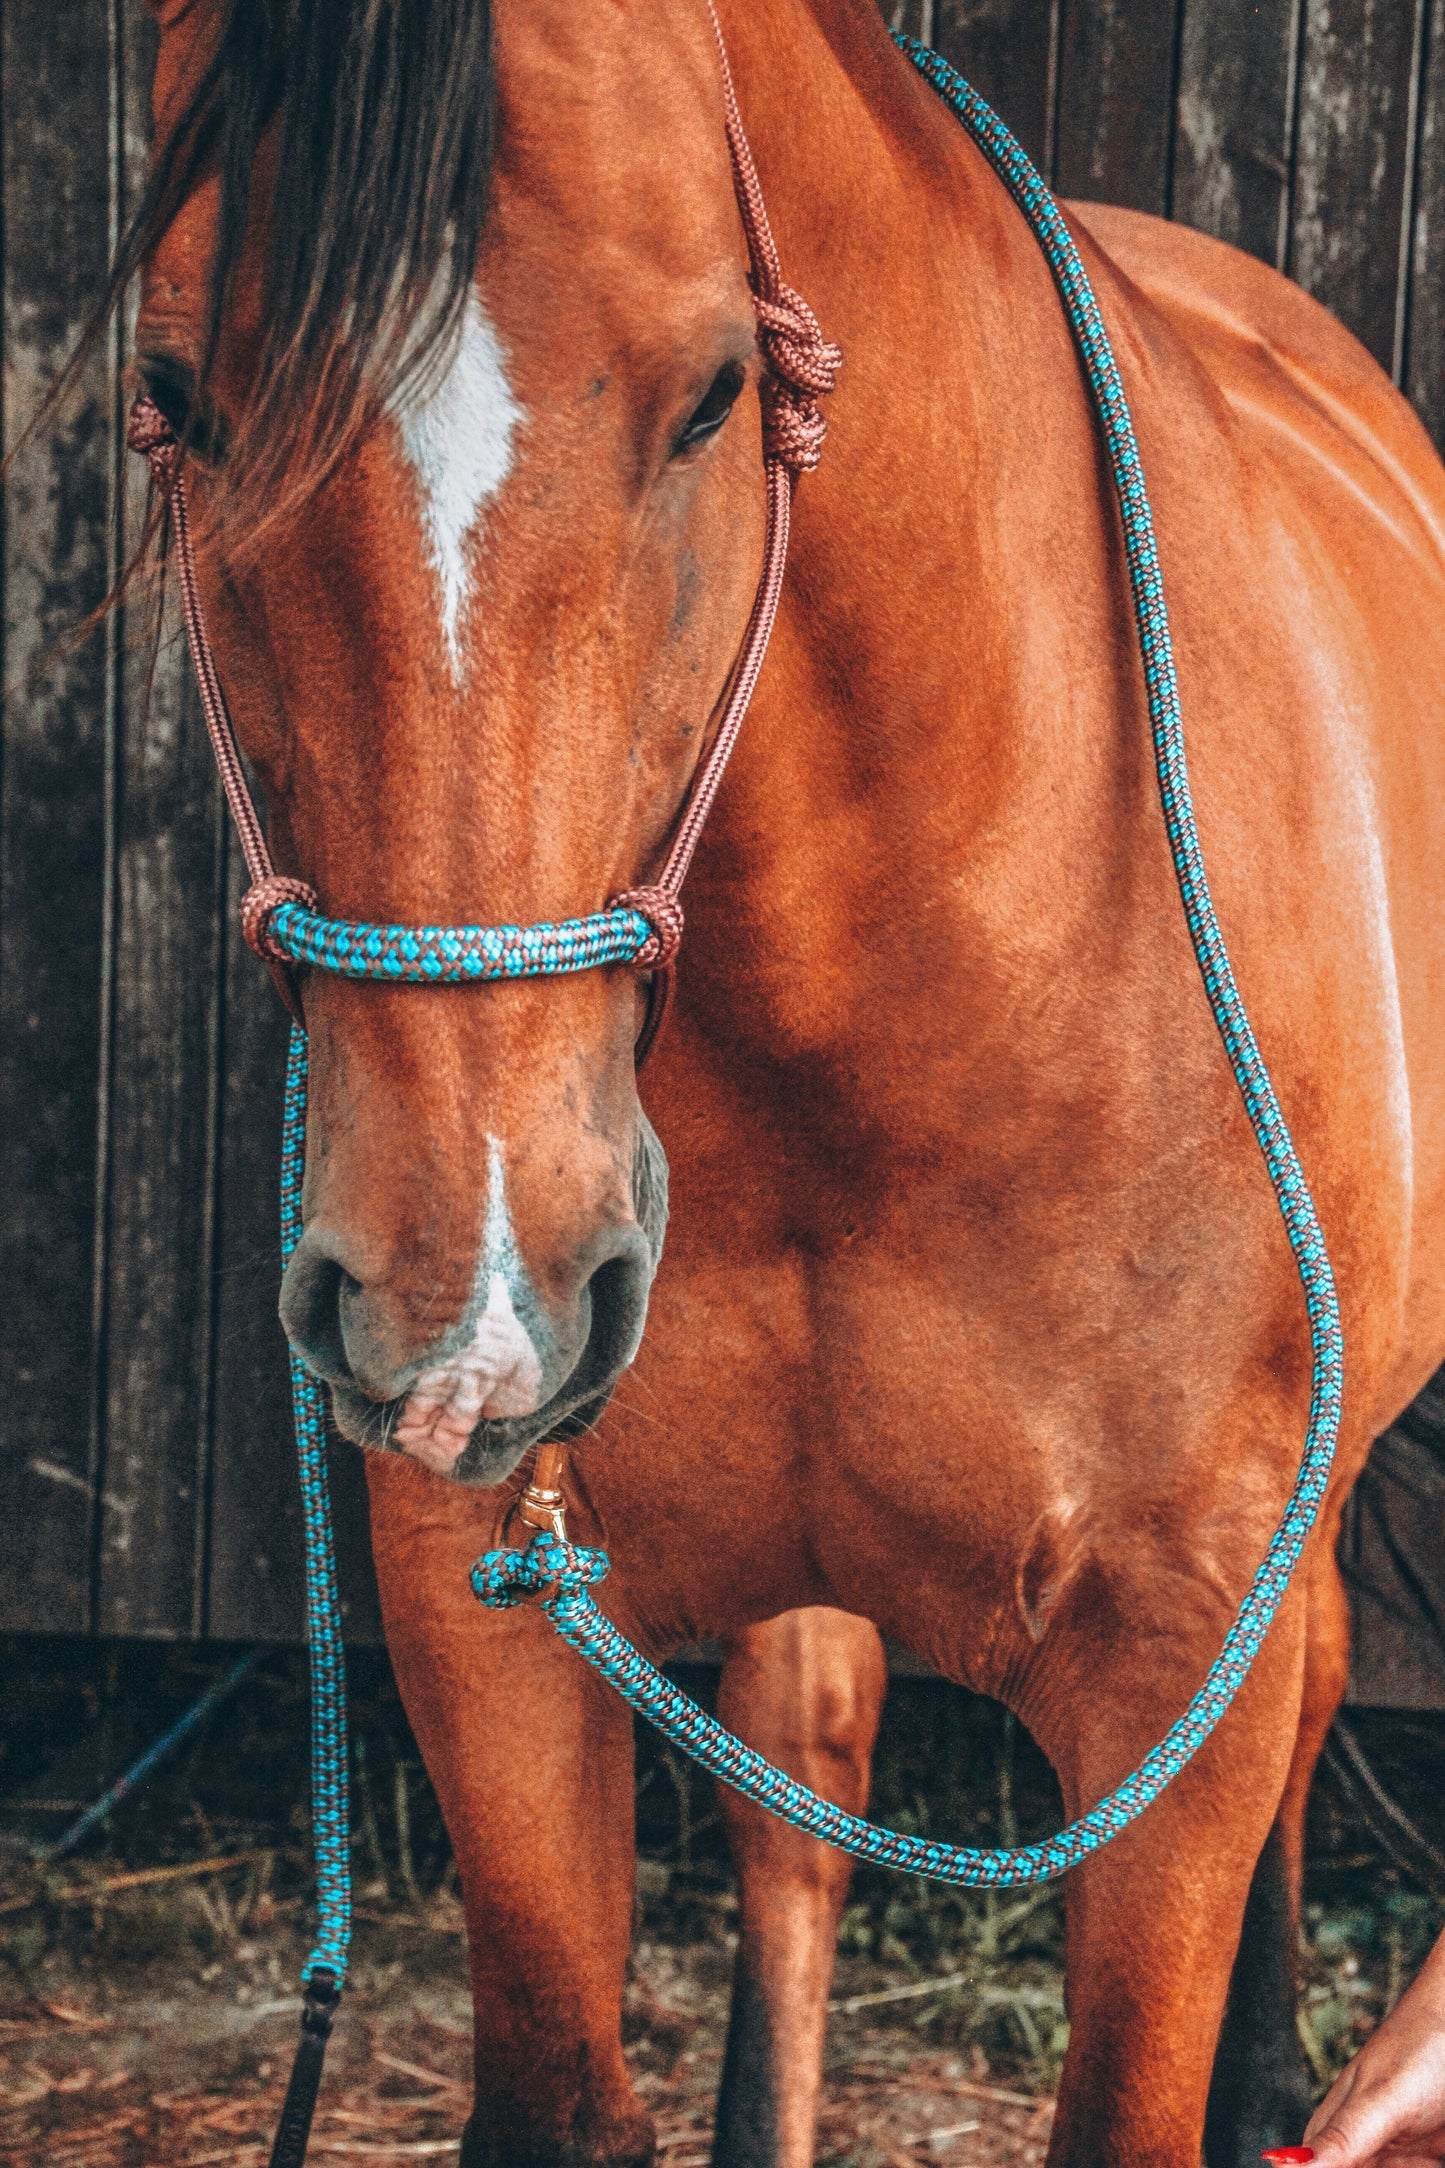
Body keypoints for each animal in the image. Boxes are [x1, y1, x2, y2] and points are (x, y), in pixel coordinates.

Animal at [118, 4, 1445, 2168]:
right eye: (176, 397)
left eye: (711, 396)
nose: (469, 1310)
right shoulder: (494, 1625)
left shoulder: (1179, 1670)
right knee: (798, 1792)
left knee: (1322, 1672)